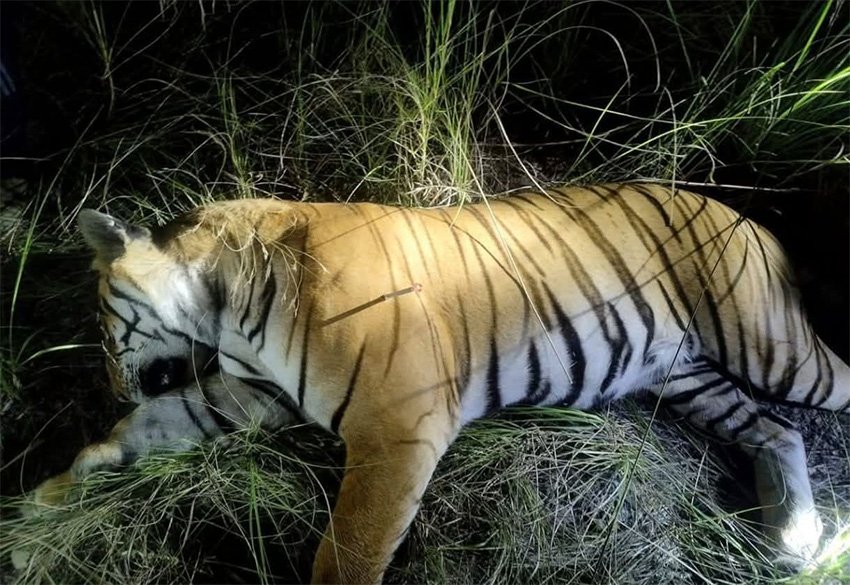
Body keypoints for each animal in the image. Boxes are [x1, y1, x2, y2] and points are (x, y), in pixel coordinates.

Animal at [30, 183, 848, 584]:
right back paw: (794, 539)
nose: (112, 383)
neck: (224, 309)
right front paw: (53, 500)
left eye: (100, 320)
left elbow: (347, 557)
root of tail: (743, 211)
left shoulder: (398, 431)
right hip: (686, 372)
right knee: (776, 429)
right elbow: (151, 428)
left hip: (769, 345)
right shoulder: (251, 393)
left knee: (819, 394)